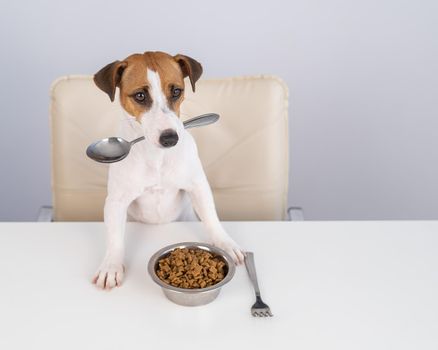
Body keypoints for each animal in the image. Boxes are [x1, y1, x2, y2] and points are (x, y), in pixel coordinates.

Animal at [92, 50, 245, 288]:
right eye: (140, 96)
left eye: (176, 91)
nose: (170, 138)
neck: (157, 157)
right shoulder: (116, 201)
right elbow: (115, 238)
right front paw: (111, 266)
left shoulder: (198, 186)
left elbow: (211, 218)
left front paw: (224, 243)